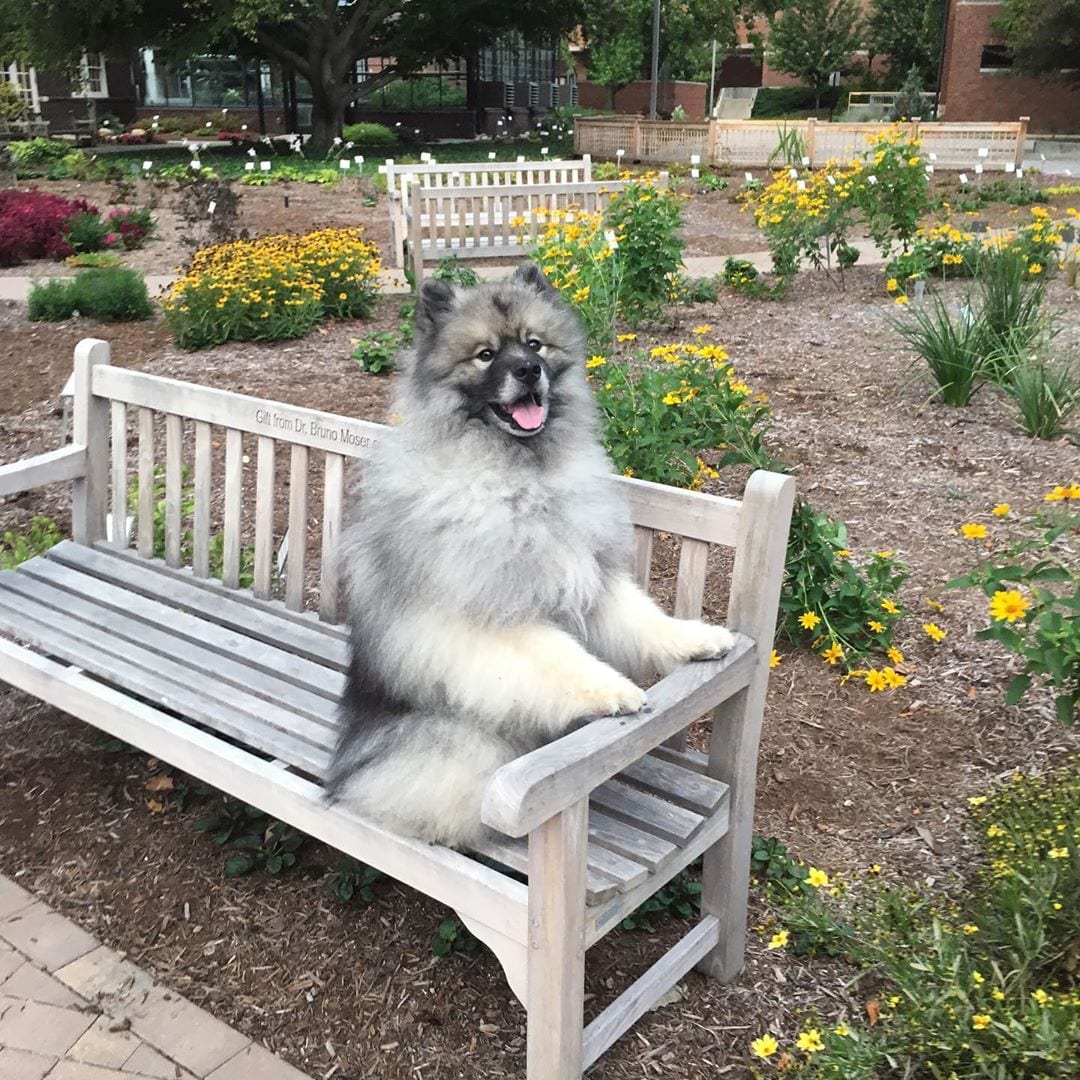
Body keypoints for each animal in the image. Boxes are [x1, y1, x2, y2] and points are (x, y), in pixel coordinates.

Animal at [328, 261, 734, 842]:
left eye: (535, 345)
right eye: (486, 354)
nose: (527, 371)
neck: (522, 481)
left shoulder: (590, 578)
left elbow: (646, 620)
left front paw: (695, 639)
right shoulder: (494, 617)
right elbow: (560, 656)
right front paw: (614, 690)